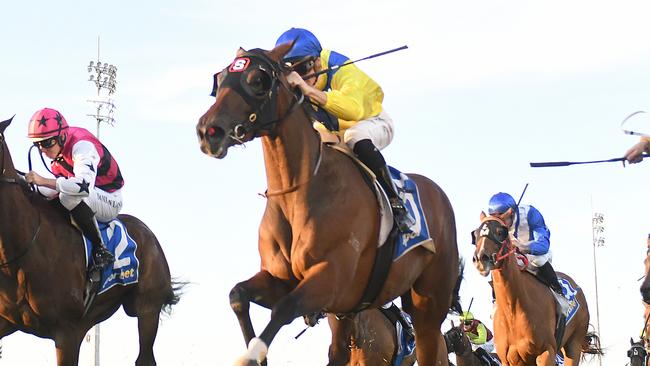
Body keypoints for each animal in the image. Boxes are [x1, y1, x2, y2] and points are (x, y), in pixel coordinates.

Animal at [195, 44, 458, 364]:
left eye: (257, 80)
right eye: (220, 80)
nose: (209, 131)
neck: (297, 193)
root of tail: (438, 193)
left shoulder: (330, 279)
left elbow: (284, 308)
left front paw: (252, 353)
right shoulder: (280, 279)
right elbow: (237, 295)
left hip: (428, 305)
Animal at [468, 212, 600, 366]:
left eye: (500, 232)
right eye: (475, 234)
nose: (480, 258)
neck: (513, 311)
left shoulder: (546, 353)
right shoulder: (509, 360)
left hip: (574, 343)